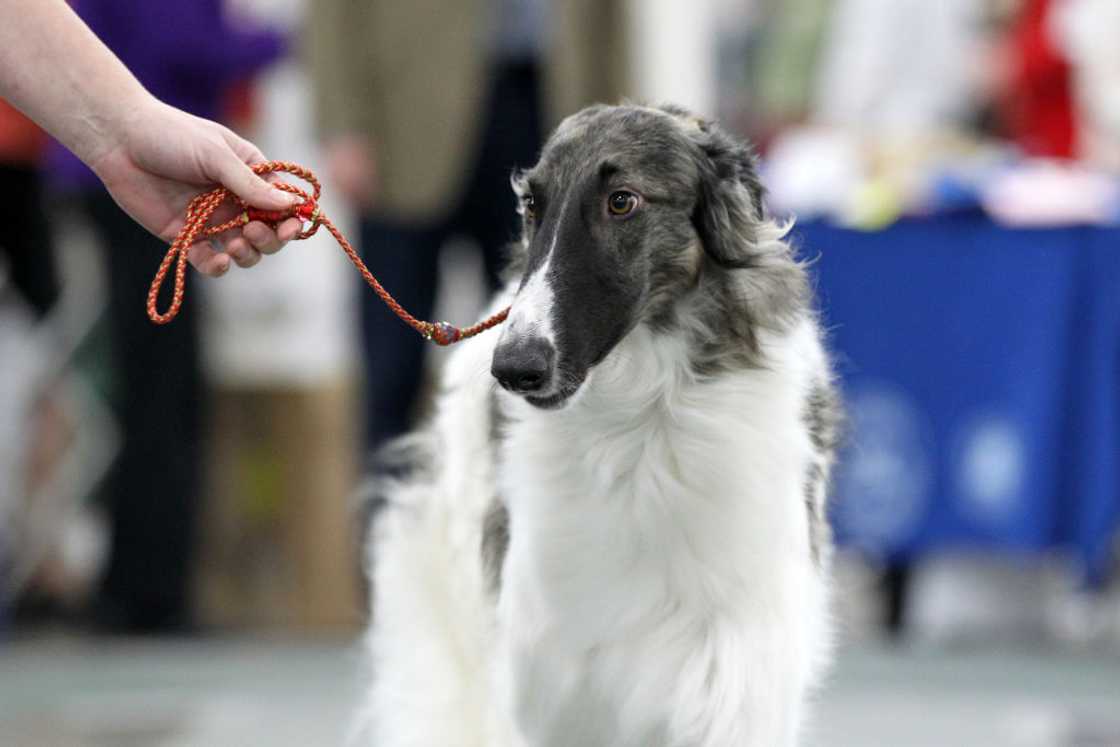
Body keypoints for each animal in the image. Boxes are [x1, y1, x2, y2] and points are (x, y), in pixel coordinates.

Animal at [358, 103, 842, 747]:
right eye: (531, 205)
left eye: (622, 201)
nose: (514, 368)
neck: (645, 421)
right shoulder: (553, 679)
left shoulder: (735, 671)